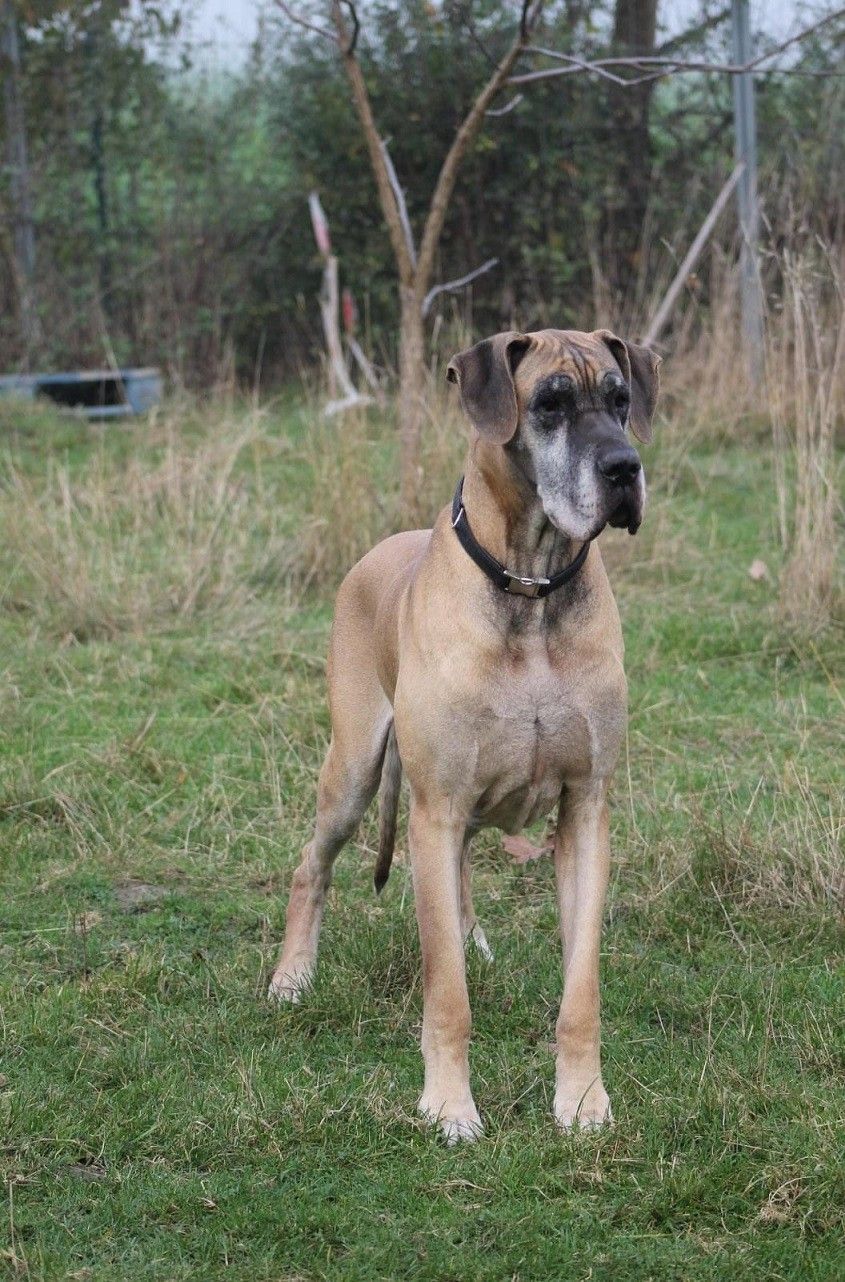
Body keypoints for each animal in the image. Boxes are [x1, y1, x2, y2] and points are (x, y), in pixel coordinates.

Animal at [269, 328, 660, 1142]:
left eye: (620, 399)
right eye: (549, 403)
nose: (624, 468)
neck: (531, 586)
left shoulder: (586, 809)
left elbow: (580, 990)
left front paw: (582, 1100)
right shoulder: (436, 806)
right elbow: (443, 989)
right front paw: (448, 1105)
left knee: (462, 873)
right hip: (354, 770)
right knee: (311, 866)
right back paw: (292, 976)